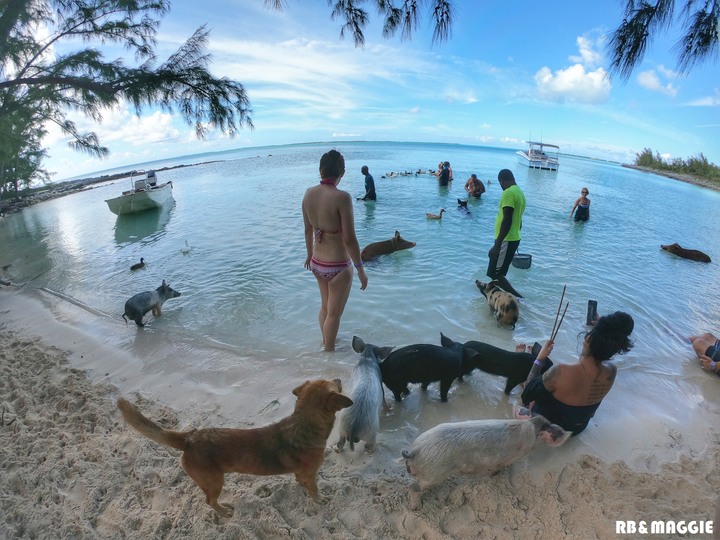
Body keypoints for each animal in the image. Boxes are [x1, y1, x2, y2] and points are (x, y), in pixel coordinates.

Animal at [117, 378, 352, 516]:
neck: (304, 423)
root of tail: (190, 437)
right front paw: (320, 500)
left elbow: (302, 483)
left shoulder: (302, 474)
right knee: (210, 501)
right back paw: (223, 511)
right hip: (215, 481)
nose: (340, 378)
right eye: (334, 383)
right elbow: (314, 490)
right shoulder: (311, 475)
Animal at [402, 410, 572, 510]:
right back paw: (416, 508)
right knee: (413, 487)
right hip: (434, 473)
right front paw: (495, 475)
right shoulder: (510, 458)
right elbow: (498, 468)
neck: (530, 427)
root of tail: (416, 450)